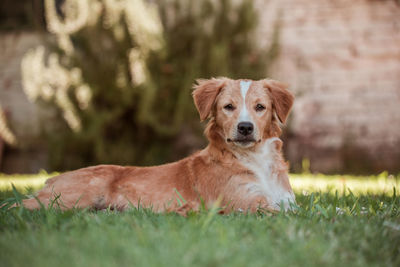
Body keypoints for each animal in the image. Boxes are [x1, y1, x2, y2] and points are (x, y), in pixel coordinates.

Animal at [18, 78, 294, 216]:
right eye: (228, 107)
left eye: (260, 107)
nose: (245, 127)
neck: (255, 160)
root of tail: (53, 178)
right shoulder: (247, 203)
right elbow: (279, 214)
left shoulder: (287, 202)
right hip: (69, 199)